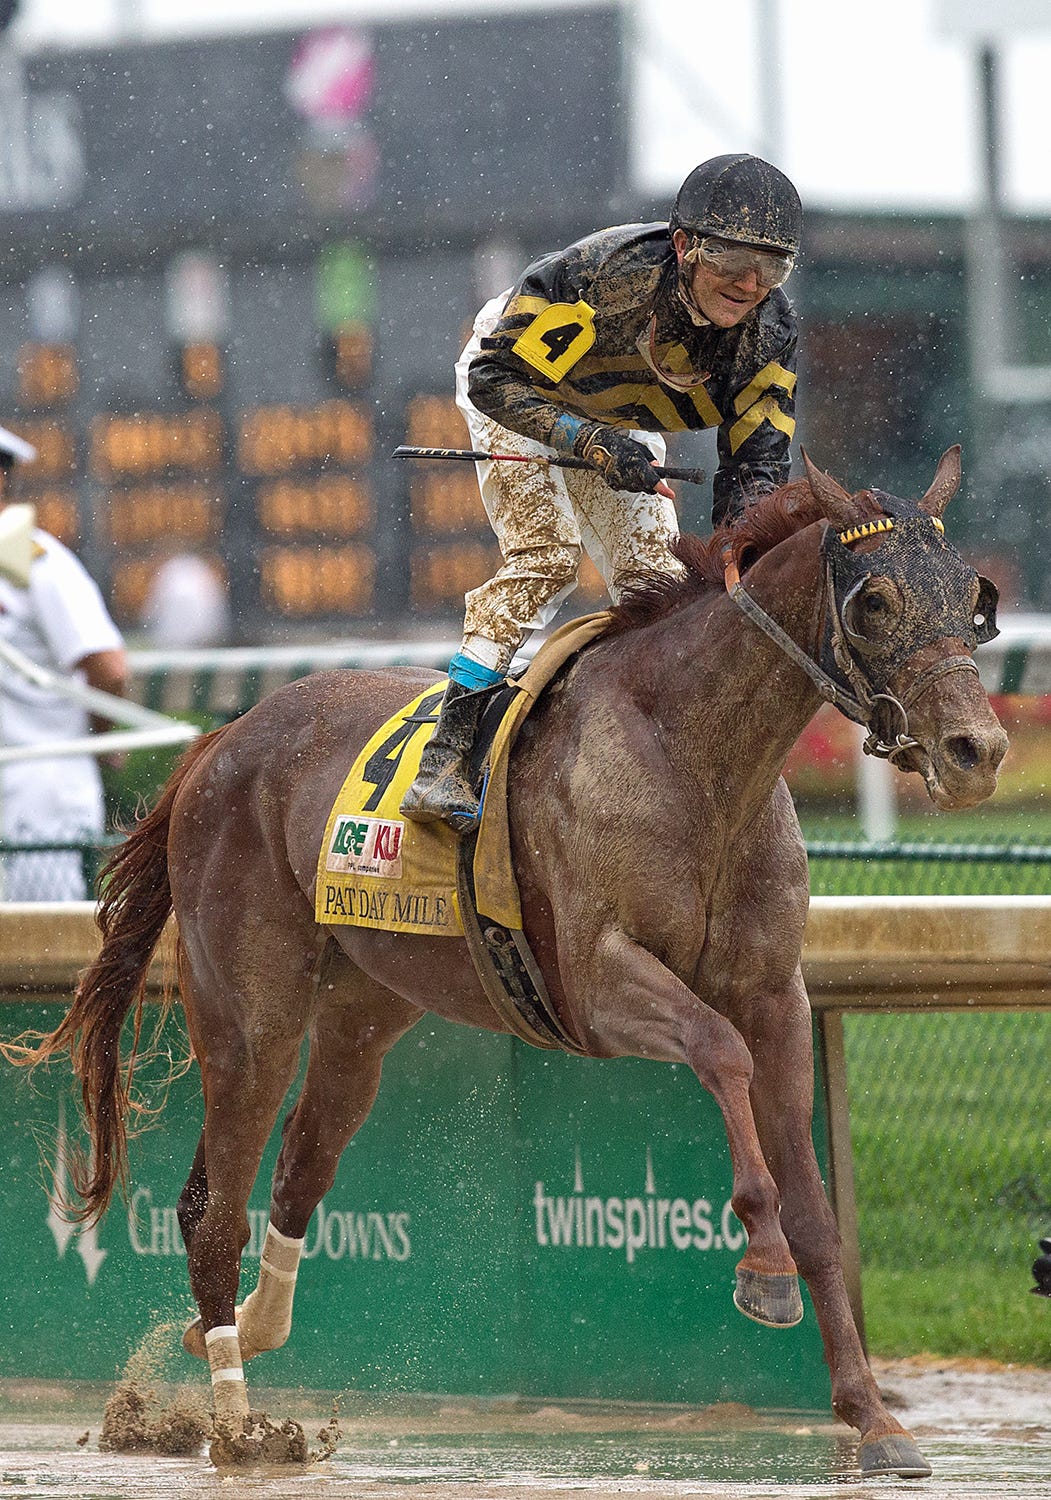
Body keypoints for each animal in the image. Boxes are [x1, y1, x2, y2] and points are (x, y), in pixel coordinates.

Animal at [19, 450, 1006, 1479]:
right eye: (873, 601)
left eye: (973, 596)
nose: (975, 751)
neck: (692, 760)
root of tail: (224, 738)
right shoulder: (598, 982)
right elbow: (718, 1052)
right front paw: (761, 1268)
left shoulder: (778, 993)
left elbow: (816, 1207)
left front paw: (872, 1418)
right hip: (249, 1011)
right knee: (212, 1207)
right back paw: (237, 1426)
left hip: (362, 1012)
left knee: (299, 1168)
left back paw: (251, 1328)